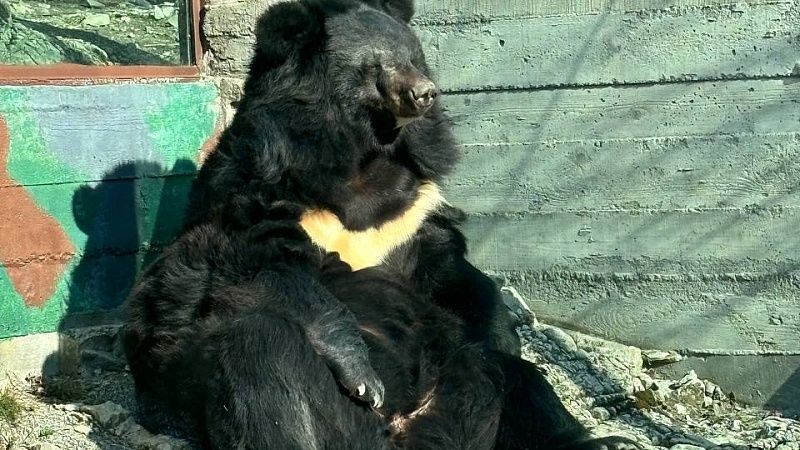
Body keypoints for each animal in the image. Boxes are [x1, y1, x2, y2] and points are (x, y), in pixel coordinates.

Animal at [124, 0, 641, 448]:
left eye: (415, 56)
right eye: (376, 65)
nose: (425, 93)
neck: (361, 158)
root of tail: (410, 431)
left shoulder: (412, 209)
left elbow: (453, 269)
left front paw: (506, 331)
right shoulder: (254, 194)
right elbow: (258, 271)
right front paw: (361, 373)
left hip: (460, 377)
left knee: (517, 378)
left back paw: (603, 441)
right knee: (262, 351)